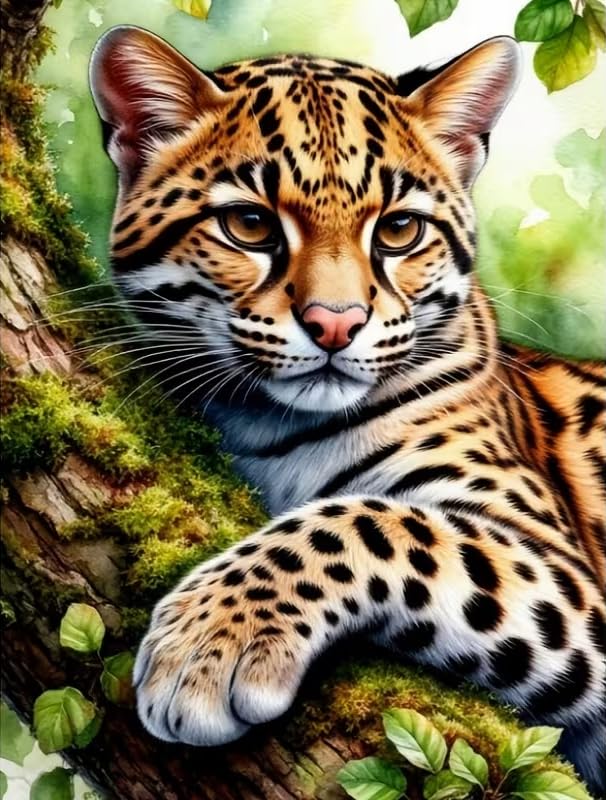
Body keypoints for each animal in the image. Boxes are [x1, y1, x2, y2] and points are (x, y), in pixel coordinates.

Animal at [90, 26, 606, 793]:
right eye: (249, 225)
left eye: (397, 232)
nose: (335, 324)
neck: (269, 424)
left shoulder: (563, 569)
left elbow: (371, 522)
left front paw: (208, 644)